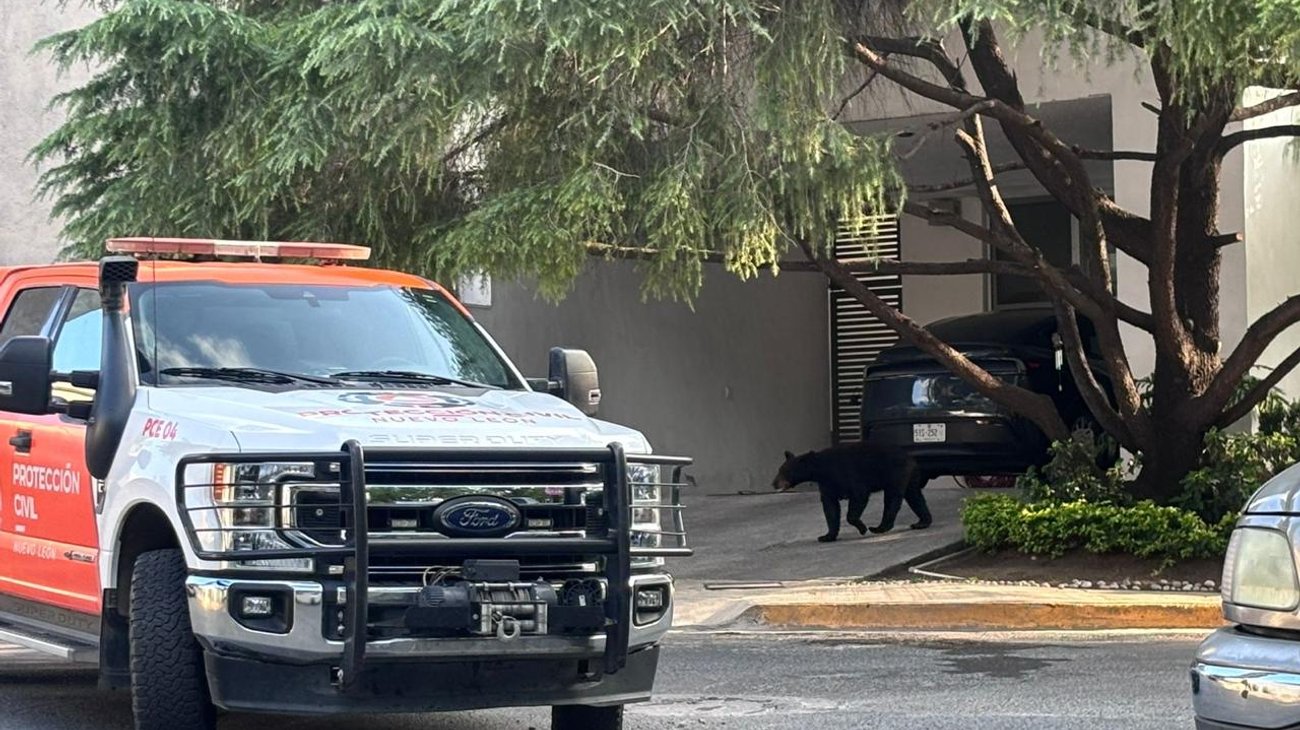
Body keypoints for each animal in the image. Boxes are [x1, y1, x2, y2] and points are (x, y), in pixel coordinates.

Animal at [771, 443, 931, 543]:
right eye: (779, 470)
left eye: (784, 471)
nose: (773, 483)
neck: (821, 470)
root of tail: (911, 458)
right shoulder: (827, 484)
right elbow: (830, 507)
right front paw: (826, 536)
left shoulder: (847, 474)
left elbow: (858, 495)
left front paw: (862, 528)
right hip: (910, 477)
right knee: (915, 497)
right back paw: (922, 522)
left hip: (895, 474)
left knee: (892, 498)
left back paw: (879, 527)